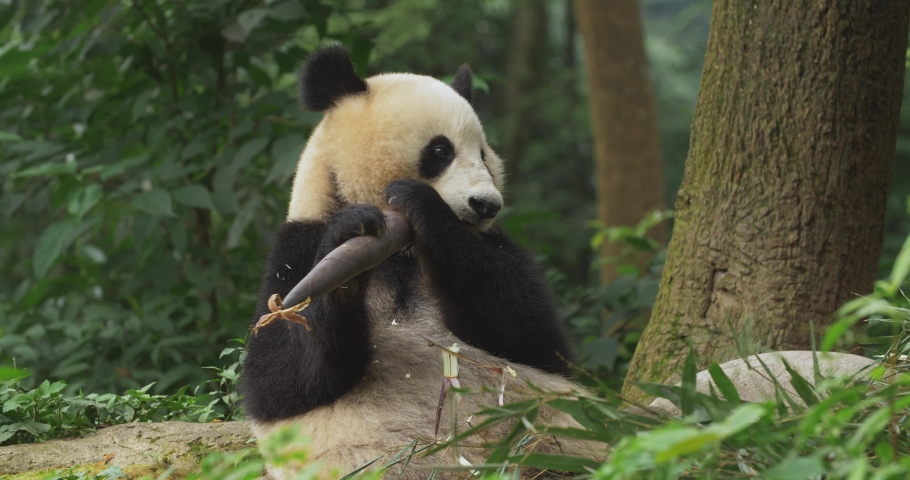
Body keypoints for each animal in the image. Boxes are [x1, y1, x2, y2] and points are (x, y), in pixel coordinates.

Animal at [241, 45, 600, 479]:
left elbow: (536, 341)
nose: (486, 205)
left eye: (484, 154)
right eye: (441, 150)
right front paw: (349, 239)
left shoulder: (494, 247)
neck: (402, 253)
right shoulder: (294, 250)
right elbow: (280, 380)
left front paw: (422, 205)